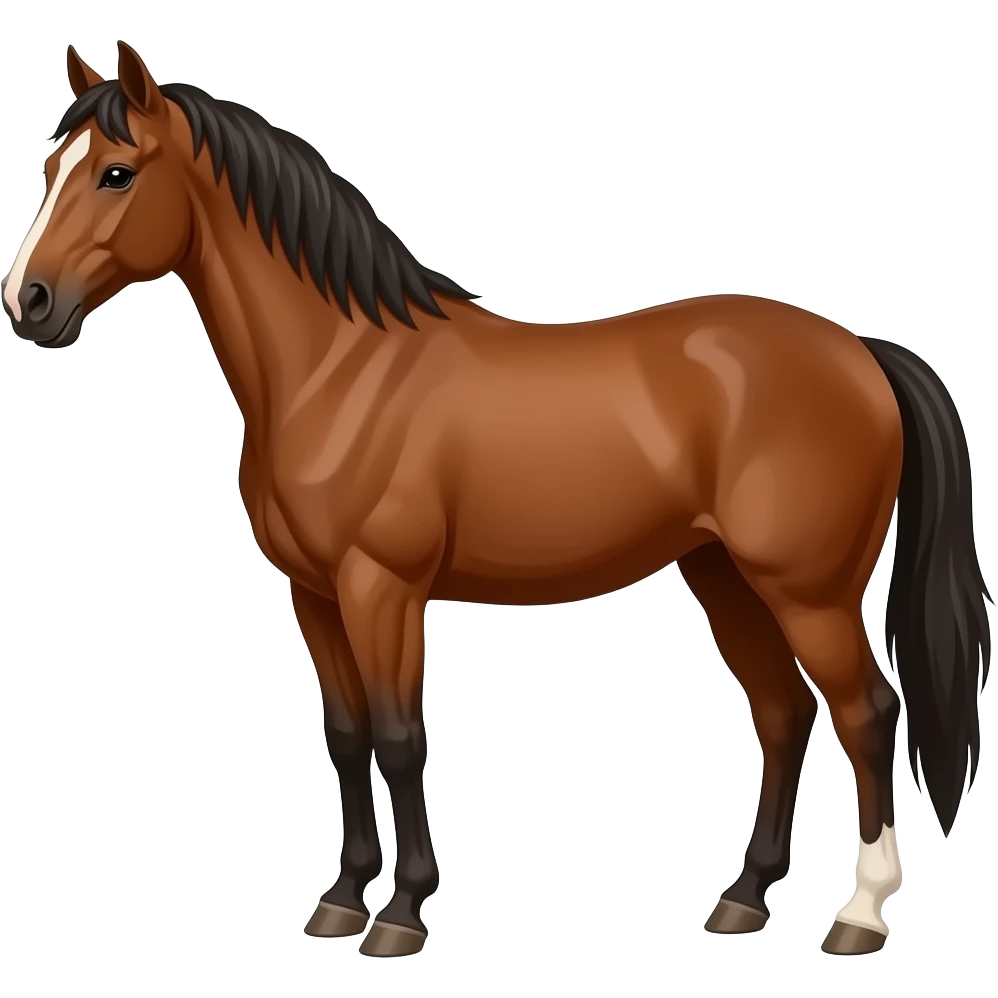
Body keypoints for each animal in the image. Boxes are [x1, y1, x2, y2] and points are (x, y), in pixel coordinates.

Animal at [2, 41, 990, 959]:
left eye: (117, 172)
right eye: (51, 168)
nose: (29, 302)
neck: (338, 369)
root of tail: (860, 351)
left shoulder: (382, 587)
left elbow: (401, 736)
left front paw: (401, 914)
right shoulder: (314, 594)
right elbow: (346, 734)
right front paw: (340, 900)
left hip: (807, 591)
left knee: (868, 715)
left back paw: (858, 914)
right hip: (724, 575)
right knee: (783, 715)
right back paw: (743, 899)